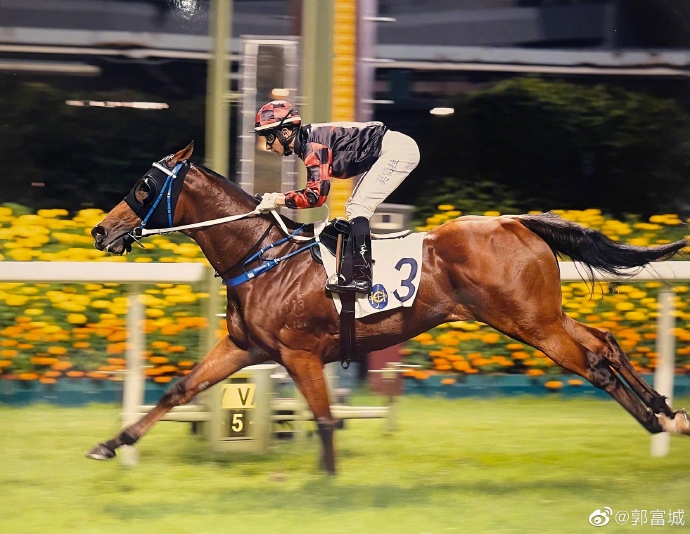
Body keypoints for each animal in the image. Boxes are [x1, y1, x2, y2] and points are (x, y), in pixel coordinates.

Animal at [86, 141, 690, 474]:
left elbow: (325, 418)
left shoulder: (299, 353)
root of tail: (518, 221)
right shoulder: (244, 347)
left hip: (530, 323)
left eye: (143, 186)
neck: (263, 256)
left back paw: (659, 418)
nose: (100, 230)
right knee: (605, 343)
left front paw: (328, 485)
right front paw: (112, 444)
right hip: (541, 317)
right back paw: (666, 414)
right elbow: (179, 390)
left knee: (593, 363)